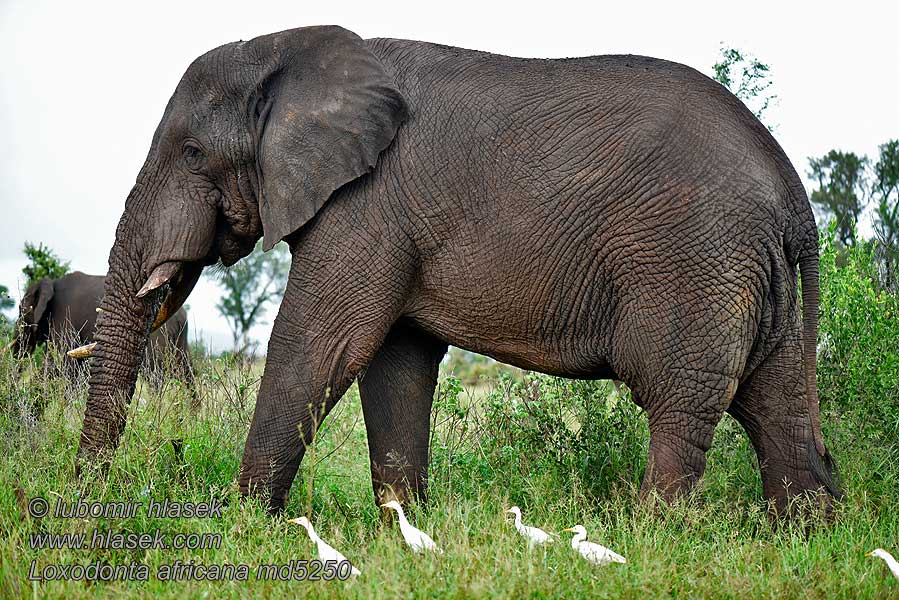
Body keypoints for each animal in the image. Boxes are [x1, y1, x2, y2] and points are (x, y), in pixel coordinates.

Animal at [12, 270, 193, 386]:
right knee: (186, 371)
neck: (52, 282)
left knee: (155, 374)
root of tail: (181, 314)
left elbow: (61, 360)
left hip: (158, 335)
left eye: (21, 310)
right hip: (180, 336)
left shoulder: (63, 316)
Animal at [74, 22, 840, 510]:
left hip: (694, 265)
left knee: (679, 403)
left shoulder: (366, 206)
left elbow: (319, 344)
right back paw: (802, 535)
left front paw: (244, 527)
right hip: (750, 277)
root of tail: (794, 197)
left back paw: (646, 540)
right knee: (776, 412)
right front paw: (405, 535)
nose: (88, 493)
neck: (287, 51)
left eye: (192, 154)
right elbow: (394, 363)